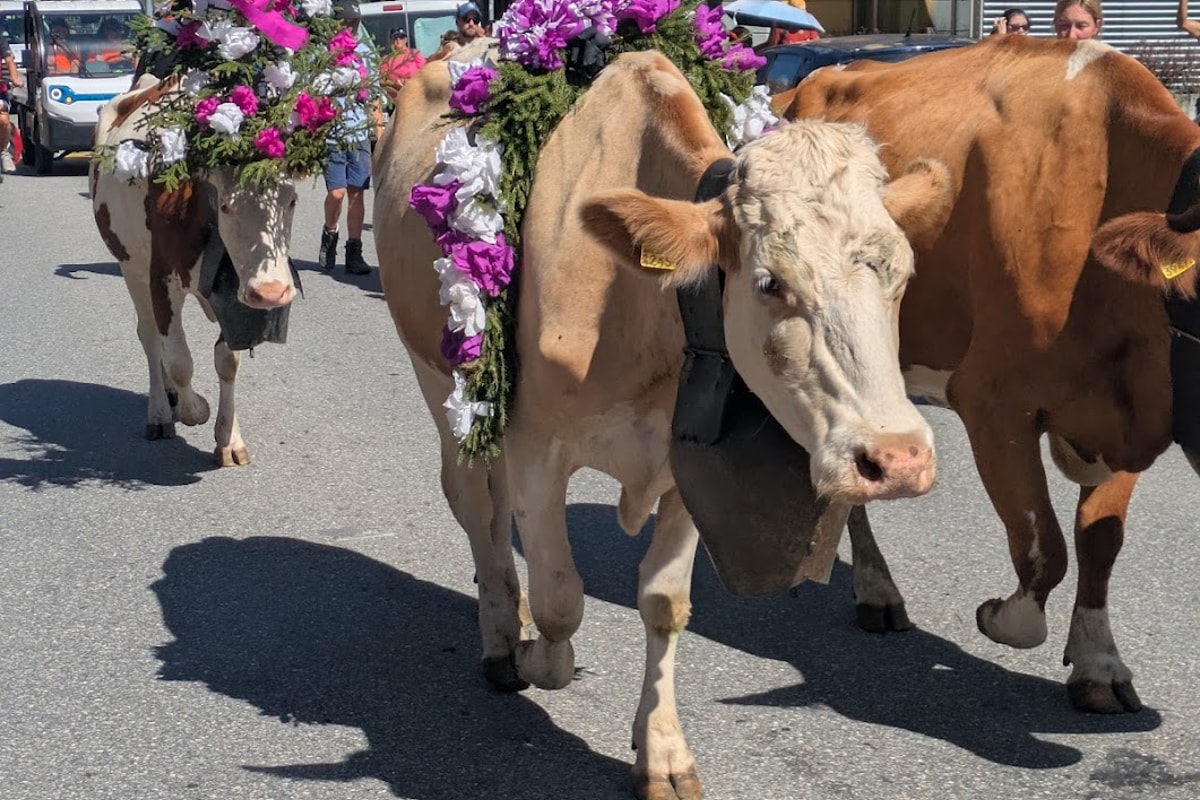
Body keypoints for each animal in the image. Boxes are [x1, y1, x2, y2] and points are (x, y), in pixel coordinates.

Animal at [91, 75, 299, 466]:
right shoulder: (161, 277)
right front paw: (196, 410)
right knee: (150, 337)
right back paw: (160, 412)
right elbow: (179, 360)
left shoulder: (234, 292)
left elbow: (228, 359)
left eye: (291, 200)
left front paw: (229, 439)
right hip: (131, 267)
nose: (271, 292)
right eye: (227, 205)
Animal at [373, 47, 954, 800]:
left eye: (902, 274)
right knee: (478, 507)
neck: (642, 308)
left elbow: (663, 603)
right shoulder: (537, 448)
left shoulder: (682, 460)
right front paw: (539, 661)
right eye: (770, 283)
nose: (898, 459)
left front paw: (663, 752)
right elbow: (561, 598)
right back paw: (503, 635)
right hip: (440, 380)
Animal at [778, 34, 1200, 715]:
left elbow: (1099, 542)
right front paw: (1001, 617)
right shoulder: (992, 400)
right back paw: (876, 591)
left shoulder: (1136, 404)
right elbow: (1045, 549)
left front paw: (1099, 663)